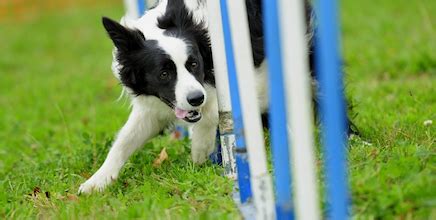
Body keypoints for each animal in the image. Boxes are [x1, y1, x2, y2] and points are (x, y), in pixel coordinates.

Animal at [79, 0, 338, 193]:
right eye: (164, 73)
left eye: (194, 64)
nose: (196, 99)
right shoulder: (153, 109)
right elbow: (124, 141)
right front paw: (96, 182)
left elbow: (213, 116)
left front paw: (200, 156)